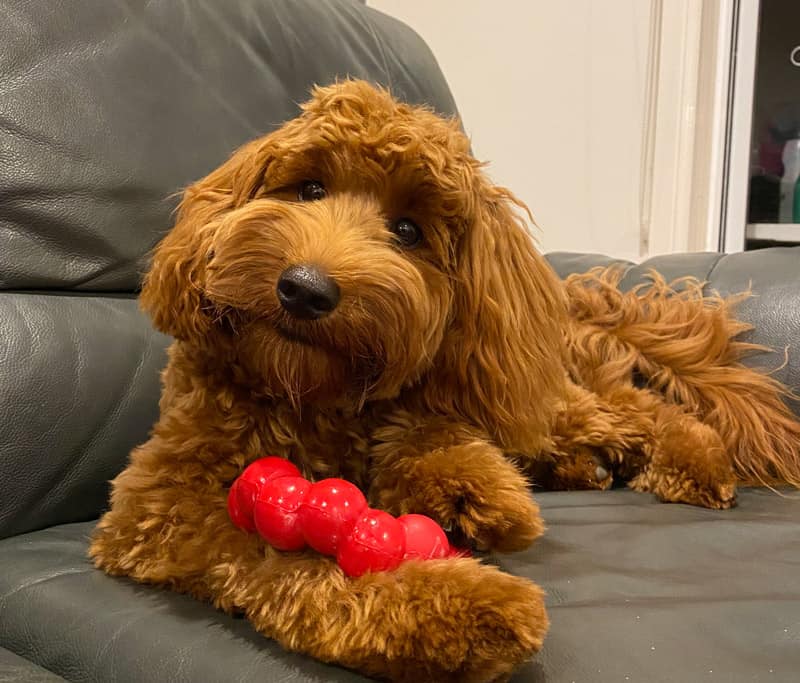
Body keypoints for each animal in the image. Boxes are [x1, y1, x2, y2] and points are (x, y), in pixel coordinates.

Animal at [87, 81, 800, 683]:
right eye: (309, 188)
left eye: (407, 231)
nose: (306, 289)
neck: (310, 395)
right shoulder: (162, 508)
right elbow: (296, 561)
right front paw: (455, 606)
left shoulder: (420, 407)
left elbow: (427, 439)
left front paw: (477, 497)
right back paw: (591, 470)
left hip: (542, 402)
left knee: (642, 412)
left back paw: (691, 466)